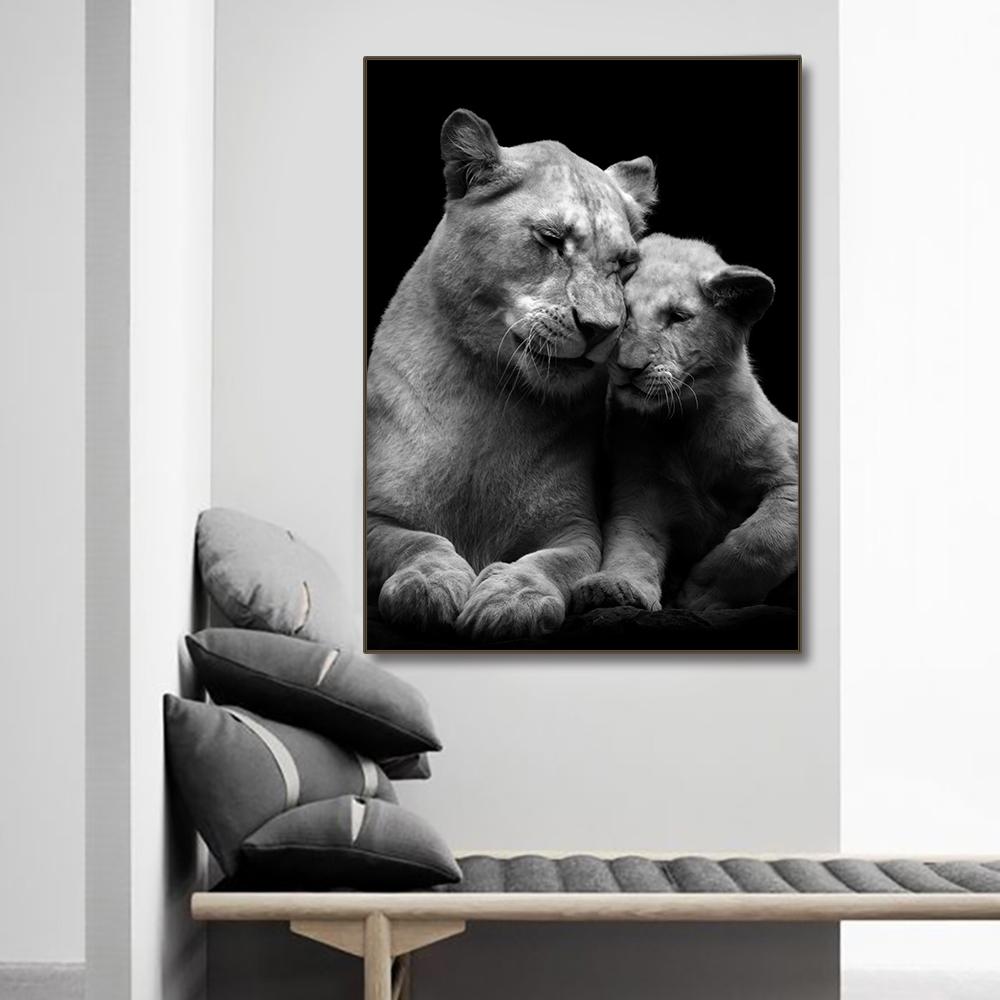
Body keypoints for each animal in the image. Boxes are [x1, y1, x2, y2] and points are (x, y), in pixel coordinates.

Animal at [366, 109, 656, 642]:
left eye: (625, 264)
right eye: (551, 240)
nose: (601, 329)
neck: (489, 392)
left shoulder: (576, 528)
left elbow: (550, 563)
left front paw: (510, 600)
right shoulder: (375, 515)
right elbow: (417, 543)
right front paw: (426, 586)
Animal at [571, 234, 798, 615]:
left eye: (678, 317)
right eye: (625, 313)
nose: (628, 367)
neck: (683, 422)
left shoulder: (788, 482)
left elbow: (761, 540)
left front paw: (699, 596)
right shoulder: (639, 494)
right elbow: (631, 545)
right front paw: (614, 587)